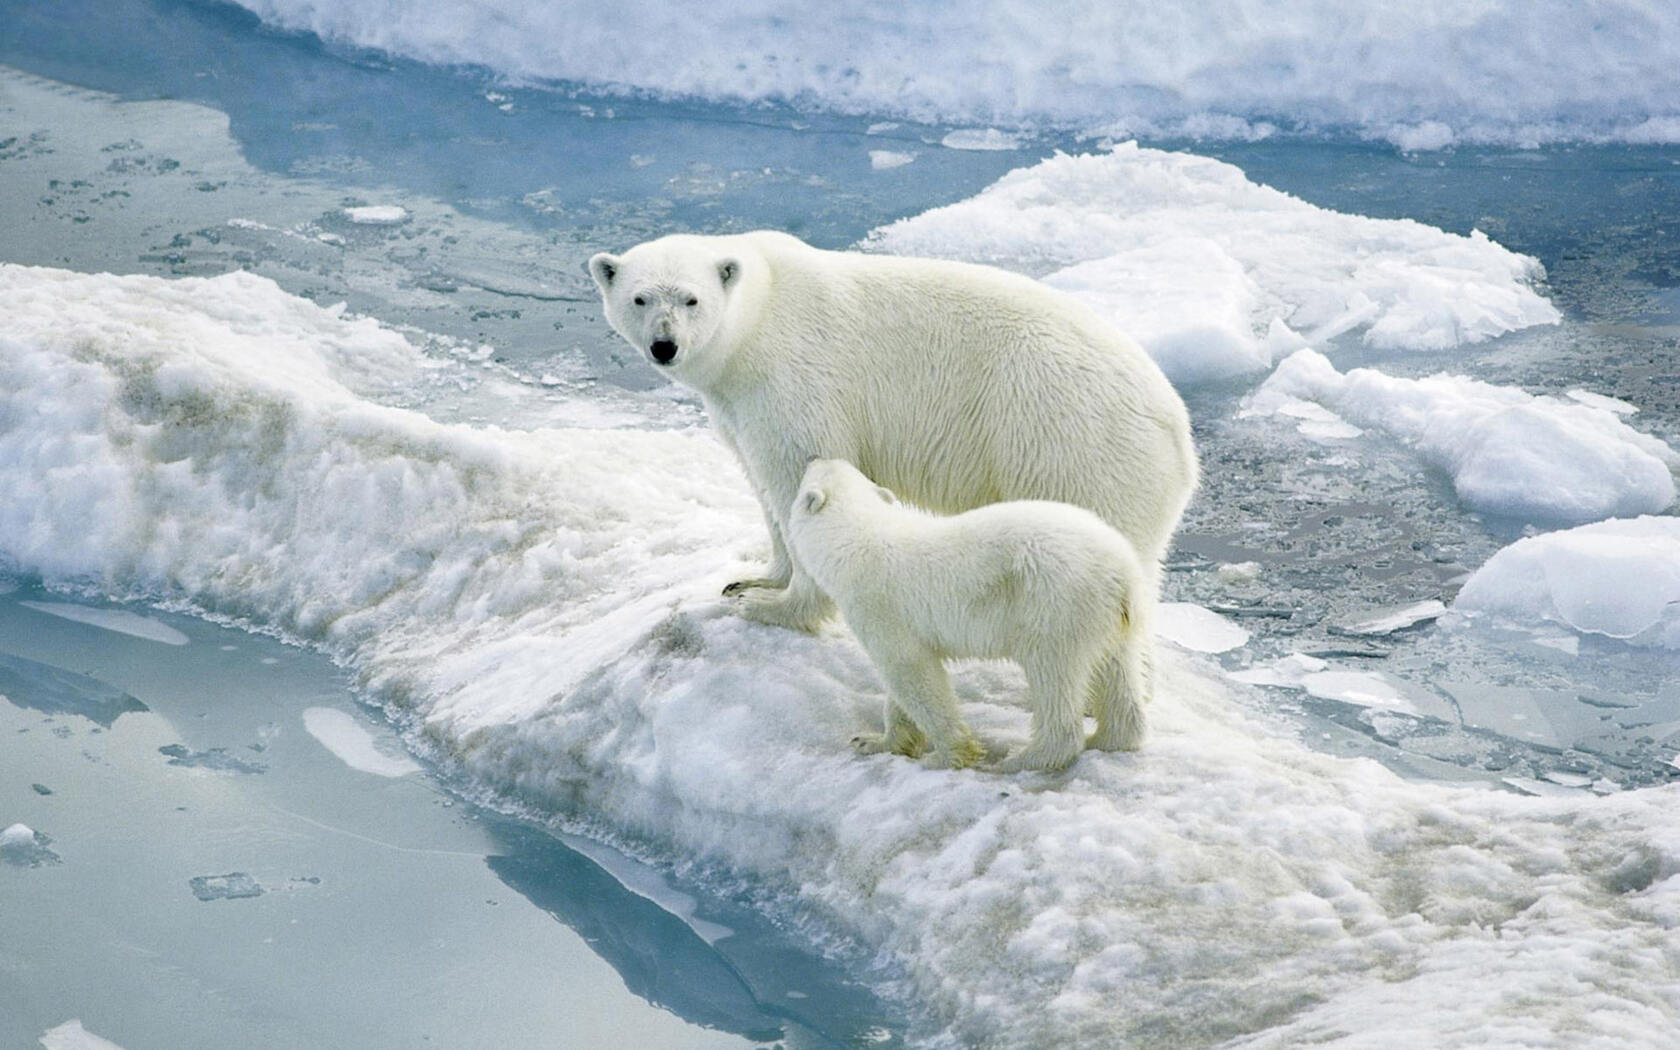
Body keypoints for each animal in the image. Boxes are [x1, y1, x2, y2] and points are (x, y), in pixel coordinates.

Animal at [591, 230, 1196, 732]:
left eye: (690, 299)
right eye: (640, 299)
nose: (664, 345)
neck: (757, 319)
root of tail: (1179, 435)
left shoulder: (794, 379)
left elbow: (797, 472)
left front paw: (774, 607)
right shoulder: (735, 403)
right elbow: (760, 481)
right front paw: (752, 579)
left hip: (1070, 448)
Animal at [786, 456, 1142, 769]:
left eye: (811, 474)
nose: (813, 456)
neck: (858, 540)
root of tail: (1121, 568)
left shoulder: (879, 606)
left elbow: (912, 673)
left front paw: (946, 755)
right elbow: (902, 686)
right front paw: (874, 741)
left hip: (1054, 604)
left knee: (1052, 674)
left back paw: (1023, 758)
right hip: (1108, 616)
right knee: (1116, 670)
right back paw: (1108, 738)